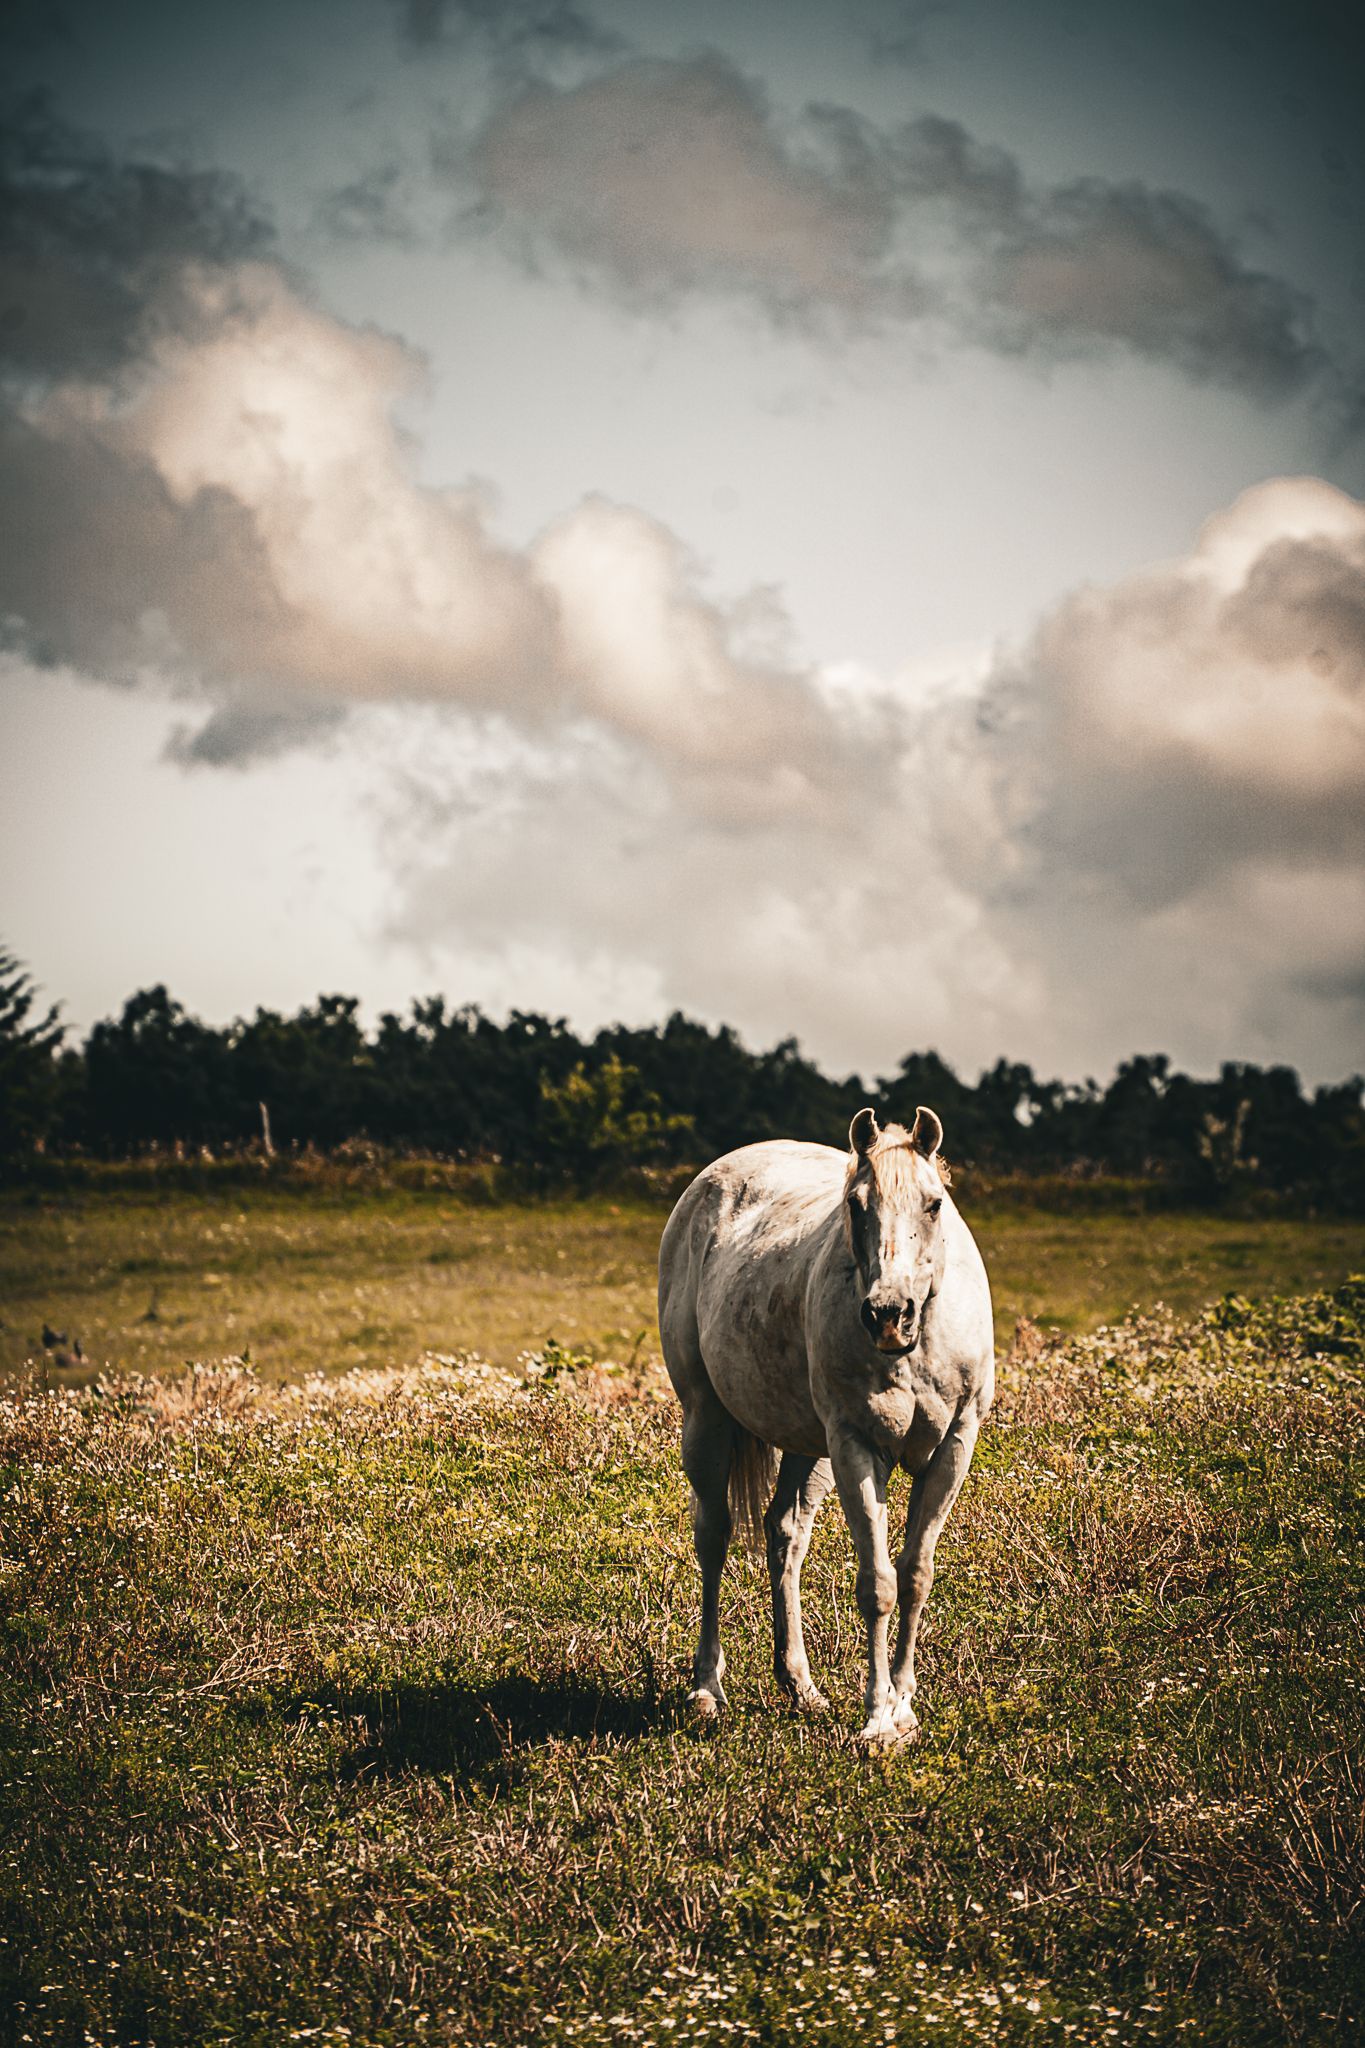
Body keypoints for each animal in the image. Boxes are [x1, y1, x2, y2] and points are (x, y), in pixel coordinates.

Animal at [657, 1105, 994, 1746]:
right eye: (856, 1206)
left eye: (934, 1204)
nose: (888, 1315)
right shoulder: (855, 1446)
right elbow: (877, 1583)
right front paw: (878, 1718)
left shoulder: (952, 1448)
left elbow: (914, 1575)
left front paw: (904, 1707)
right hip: (708, 1421)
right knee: (713, 1535)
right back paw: (707, 1689)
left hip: (807, 1447)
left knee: (784, 1535)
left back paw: (799, 1685)